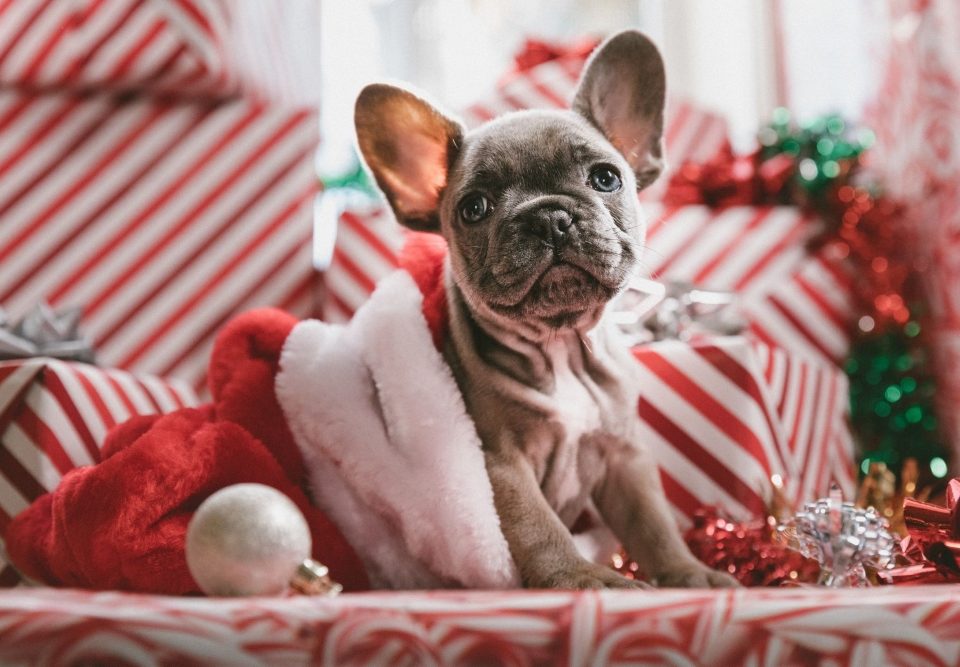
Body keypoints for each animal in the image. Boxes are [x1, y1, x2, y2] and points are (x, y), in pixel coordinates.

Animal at [356, 30, 740, 588]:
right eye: (474, 208)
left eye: (606, 178)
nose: (548, 217)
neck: (560, 345)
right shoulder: (500, 466)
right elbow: (538, 529)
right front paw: (583, 579)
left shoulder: (623, 456)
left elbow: (654, 523)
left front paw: (688, 574)